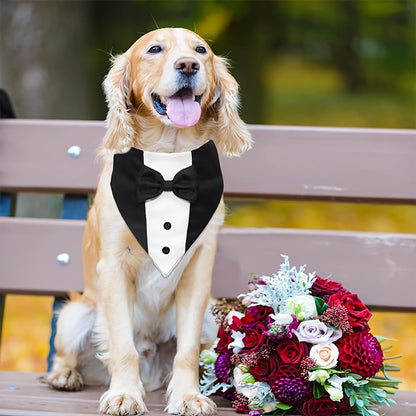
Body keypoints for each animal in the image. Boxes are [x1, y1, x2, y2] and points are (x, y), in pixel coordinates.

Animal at [47, 27, 252, 414]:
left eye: (201, 50)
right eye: (155, 49)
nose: (188, 65)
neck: (168, 164)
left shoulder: (198, 271)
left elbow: (187, 351)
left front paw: (188, 396)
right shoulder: (113, 266)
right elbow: (122, 347)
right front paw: (125, 393)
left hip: (212, 316)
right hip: (76, 313)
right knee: (67, 353)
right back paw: (65, 375)